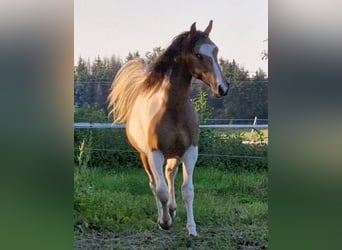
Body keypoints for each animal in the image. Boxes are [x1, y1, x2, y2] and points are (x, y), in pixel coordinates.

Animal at [107, 20, 230, 236]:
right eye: (198, 54)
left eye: (215, 50)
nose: (222, 87)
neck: (173, 110)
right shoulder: (155, 153)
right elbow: (161, 191)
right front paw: (164, 222)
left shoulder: (190, 151)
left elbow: (187, 190)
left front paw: (192, 229)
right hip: (145, 156)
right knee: (155, 184)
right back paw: (164, 216)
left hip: (175, 155)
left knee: (170, 174)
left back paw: (173, 209)